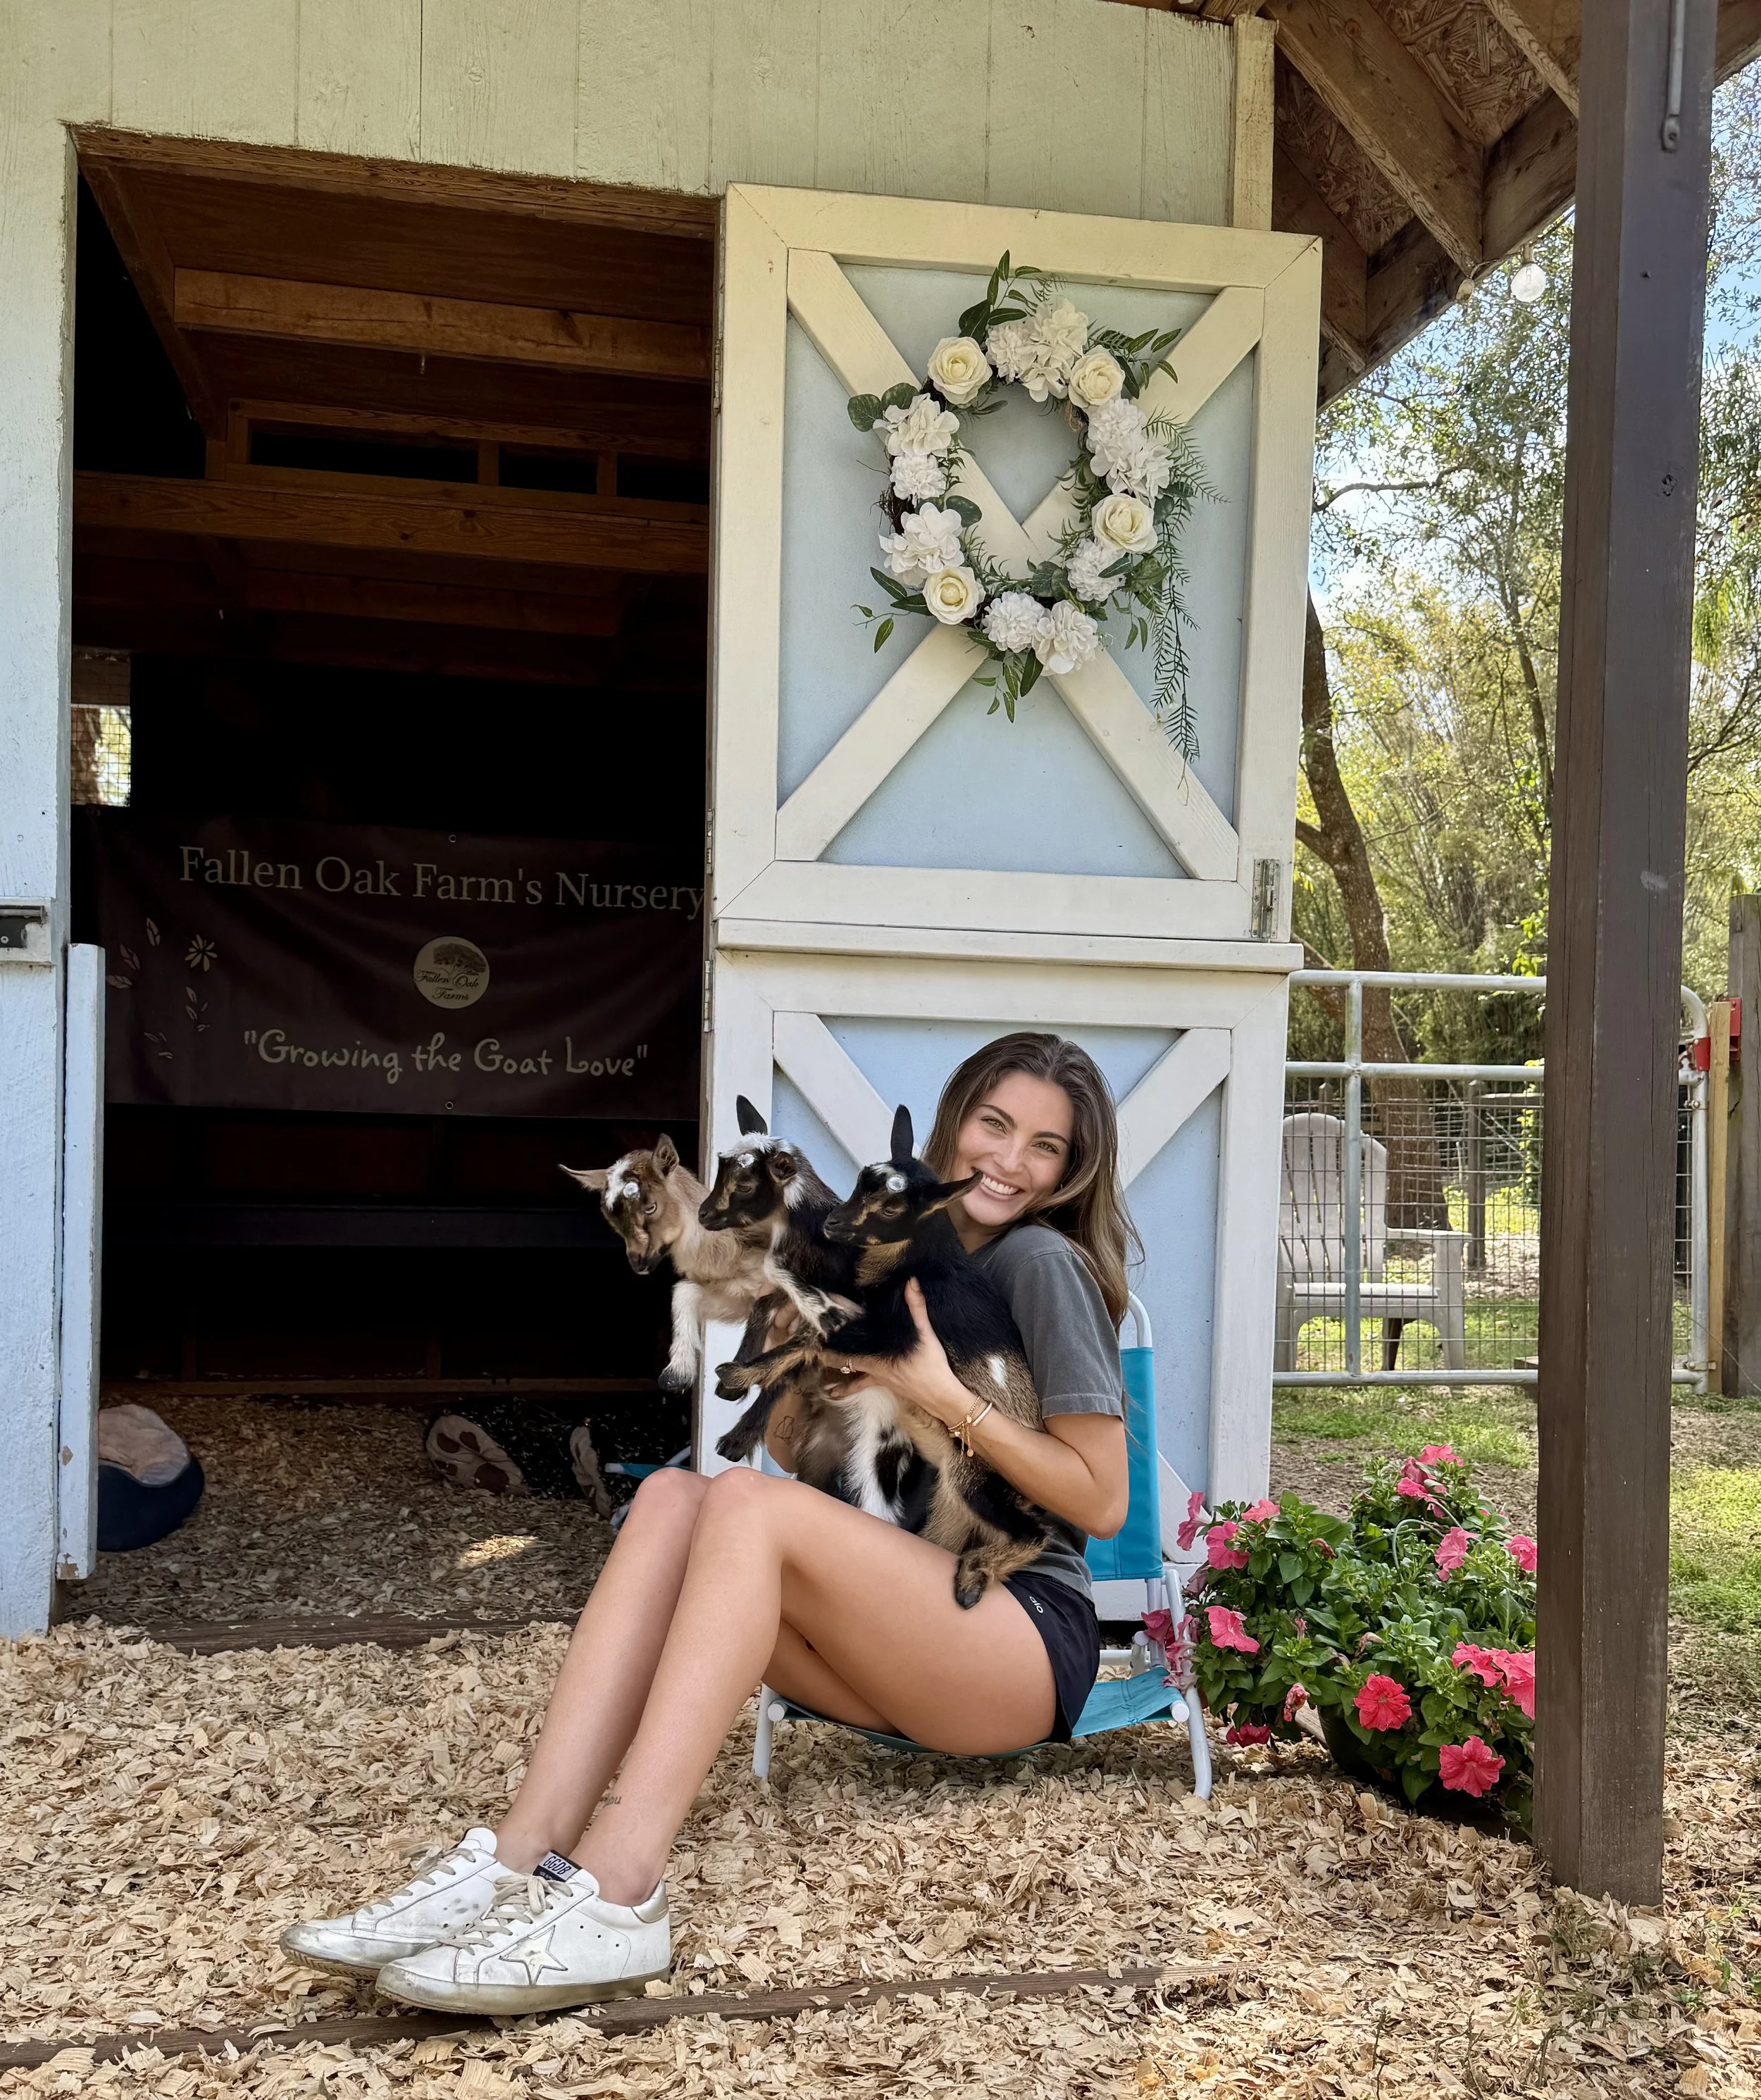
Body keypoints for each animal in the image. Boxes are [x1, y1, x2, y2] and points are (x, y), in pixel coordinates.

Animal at [562, 1134, 777, 1394]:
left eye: (650, 1207)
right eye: (611, 1219)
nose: (638, 1264)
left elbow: (766, 1305)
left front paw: (732, 1382)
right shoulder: (735, 1294)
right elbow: (684, 1291)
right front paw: (677, 1375)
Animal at [715, 1105, 1057, 1608]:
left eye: (894, 1208)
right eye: (861, 1181)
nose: (832, 1224)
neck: (920, 1267)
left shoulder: (896, 1335)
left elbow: (814, 1339)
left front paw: (738, 1375)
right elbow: (808, 1332)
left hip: (975, 1476)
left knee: (1034, 1533)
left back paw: (972, 1580)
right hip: (951, 1499)